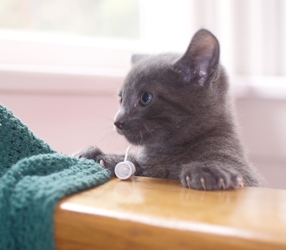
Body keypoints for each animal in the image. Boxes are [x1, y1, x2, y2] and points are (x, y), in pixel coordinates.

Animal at [76, 28, 264, 189]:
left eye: (145, 98)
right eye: (121, 99)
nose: (117, 121)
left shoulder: (247, 176)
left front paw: (209, 170)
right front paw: (95, 155)